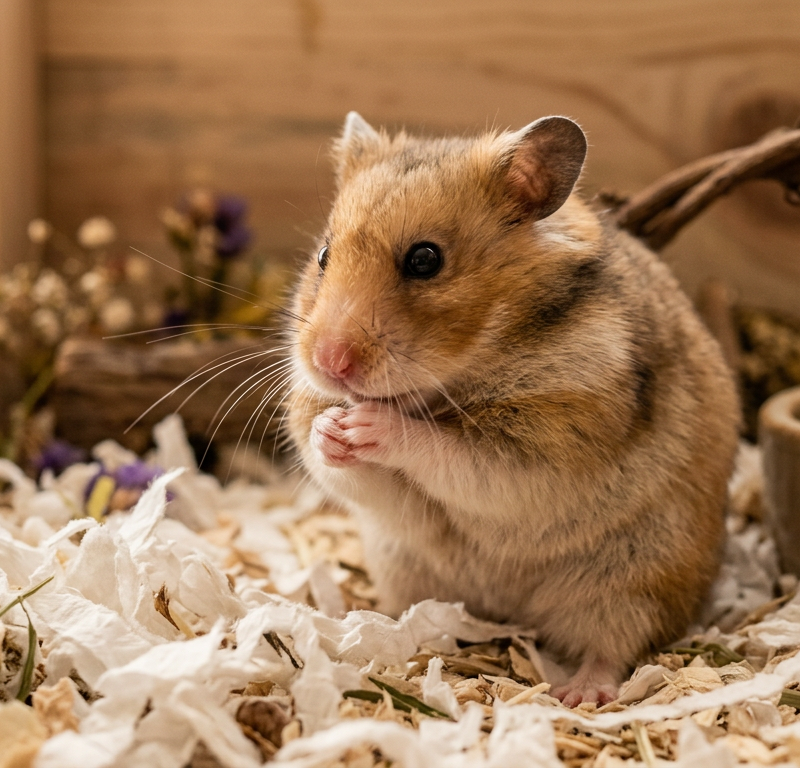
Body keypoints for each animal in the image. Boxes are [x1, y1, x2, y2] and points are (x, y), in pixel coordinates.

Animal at [286, 112, 740, 706]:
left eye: (425, 260)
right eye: (323, 255)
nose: (329, 362)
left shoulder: (545, 447)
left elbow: (448, 451)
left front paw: (366, 424)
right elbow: (347, 469)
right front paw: (330, 429)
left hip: (635, 578)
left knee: (613, 644)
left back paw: (578, 696)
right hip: (404, 565)